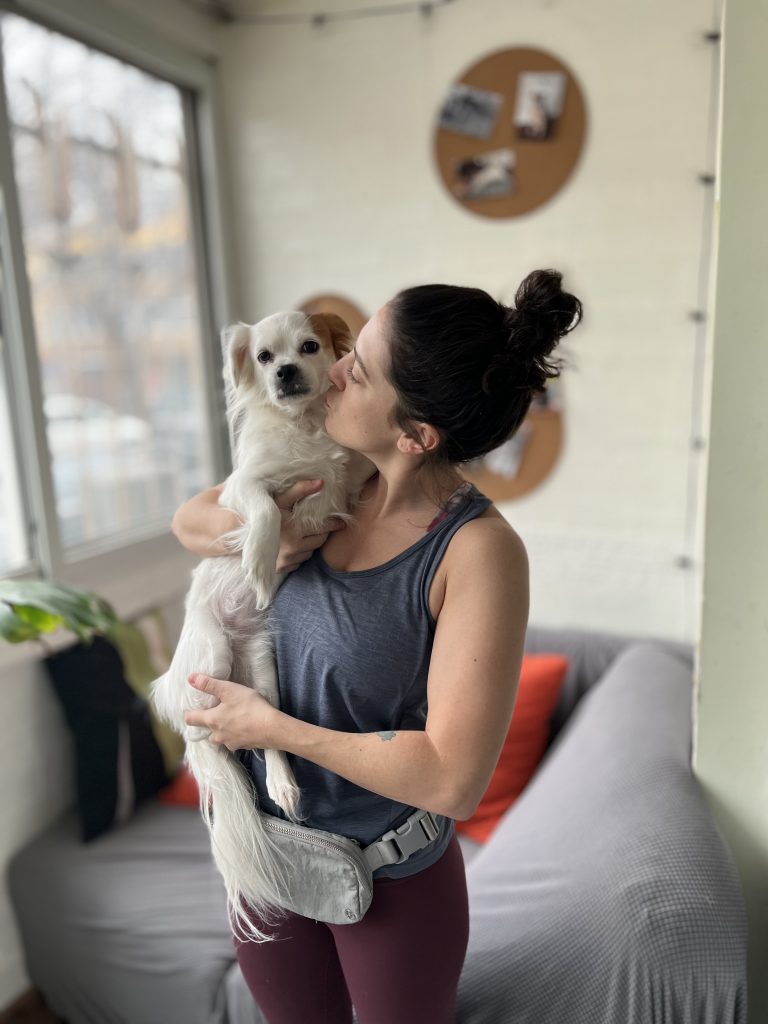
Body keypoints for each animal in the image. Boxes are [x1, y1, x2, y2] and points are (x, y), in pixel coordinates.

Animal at [151, 311, 373, 941]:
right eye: (265, 358)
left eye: (309, 347)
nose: (288, 373)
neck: (304, 431)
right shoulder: (245, 486)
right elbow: (266, 507)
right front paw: (258, 556)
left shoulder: (346, 479)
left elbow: (353, 477)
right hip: (211, 655)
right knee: (204, 730)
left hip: (262, 669)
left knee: (264, 730)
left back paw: (281, 783)